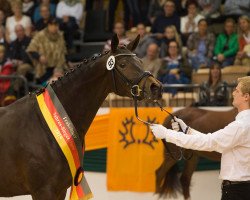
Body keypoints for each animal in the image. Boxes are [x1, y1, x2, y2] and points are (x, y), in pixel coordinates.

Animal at [0, 35, 162, 199]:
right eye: (122, 64)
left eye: (140, 61)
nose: (155, 87)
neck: (43, 127)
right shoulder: (43, 191)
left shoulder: (59, 190)